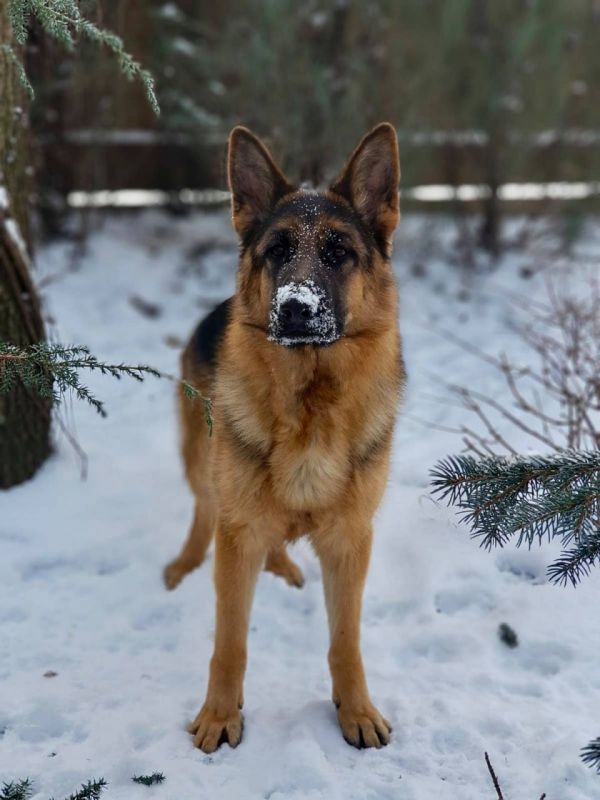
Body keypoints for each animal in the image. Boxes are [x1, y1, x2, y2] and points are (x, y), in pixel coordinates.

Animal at [164, 122, 405, 752]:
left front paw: (355, 710)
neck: (309, 406)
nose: (296, 308)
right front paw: (220, 715)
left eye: (339, 252)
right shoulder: (239, 532)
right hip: (205, 463)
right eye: (276, 251)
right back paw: (184, 564)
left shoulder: (349, 542)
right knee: (205, 508)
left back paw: (284, 566)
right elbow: (230, 642)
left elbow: (346, 641)